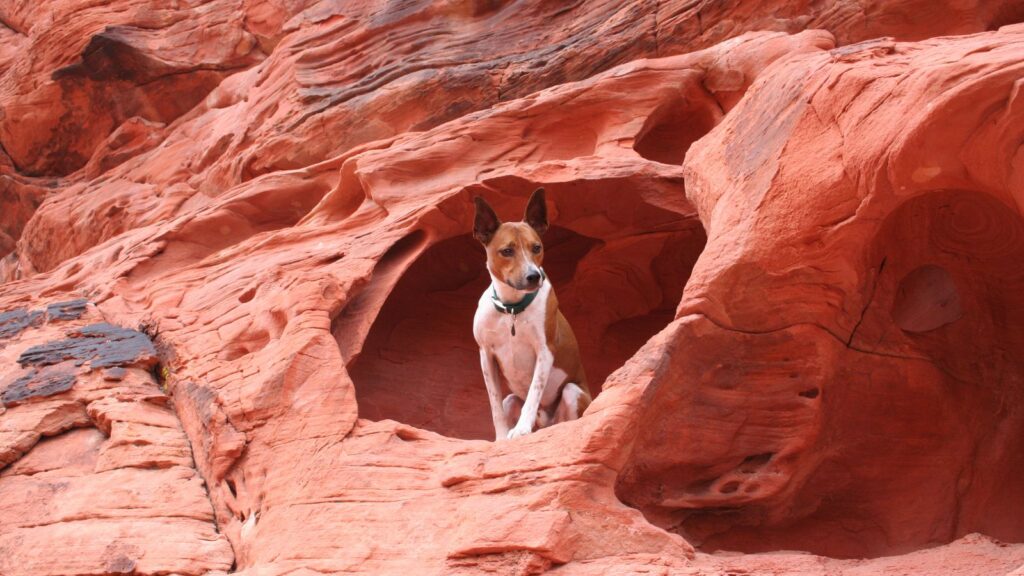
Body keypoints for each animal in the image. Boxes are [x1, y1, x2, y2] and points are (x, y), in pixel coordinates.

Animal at [471, 188, 593, 438]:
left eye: (536, 247)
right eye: (507, 251)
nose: (533, 276)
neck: (512, 309)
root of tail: (546, 422)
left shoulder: (544, 351)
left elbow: (534, 393)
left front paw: (521, 429)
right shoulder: (486, 355)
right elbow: (494, 404)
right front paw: (501, 438)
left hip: (572, 391)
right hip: (511, 399)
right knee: (507, 402)